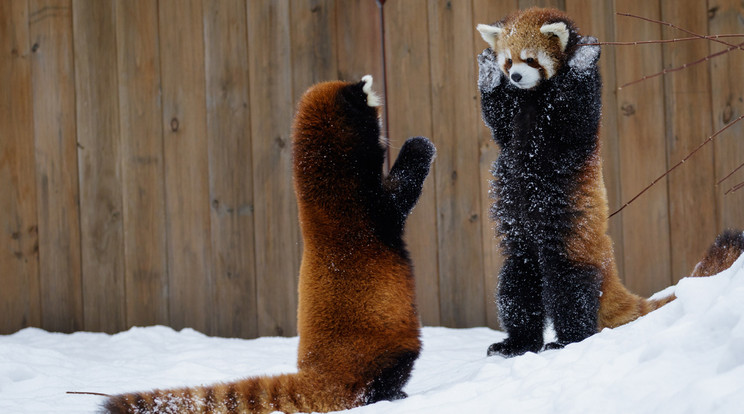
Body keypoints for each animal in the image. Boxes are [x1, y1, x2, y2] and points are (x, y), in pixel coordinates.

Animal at [103, 76, 436, 412]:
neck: (330, 185)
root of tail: (318, 376)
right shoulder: (369, 213)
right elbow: (403, 190)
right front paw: (419, 145)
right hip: (383, 347)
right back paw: (393, 394)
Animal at [476, 6, 744, 358]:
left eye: (531, 60)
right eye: (508, 62)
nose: (515, 77)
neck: (534, 98)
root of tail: (608, 264)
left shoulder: (578, 123)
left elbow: (574, 114)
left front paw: (582, 58)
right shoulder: (512, 126)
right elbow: (499, 123)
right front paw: (487, 72)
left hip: (572, 243)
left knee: (570, 291)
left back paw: (566, 340)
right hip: (522, 246)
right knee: (517, 288)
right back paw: (516, 343)